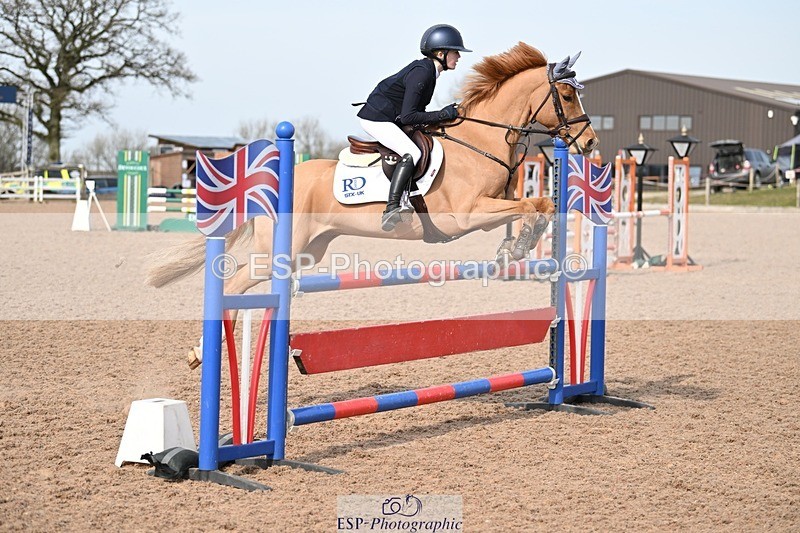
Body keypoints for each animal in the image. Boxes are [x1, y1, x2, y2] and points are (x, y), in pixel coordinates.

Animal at [146, 42, 598, 366]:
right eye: (566, 96)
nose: (591, 143)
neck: (479, 142)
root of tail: (270, 187)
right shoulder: (465, 215)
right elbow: (530, 206)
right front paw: (518, 247)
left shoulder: (492, 206)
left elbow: (537, 205)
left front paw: (515, 248)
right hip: (278, 253)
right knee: (236, 285)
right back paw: (200, 353)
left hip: (307, 253)